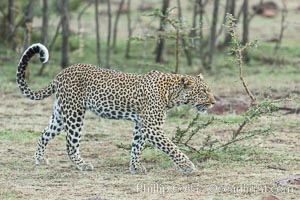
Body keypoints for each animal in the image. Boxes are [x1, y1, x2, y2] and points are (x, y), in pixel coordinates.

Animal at [15, 43, 216, 174]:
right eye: (204, 91)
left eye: (209, 90)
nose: (214, 102)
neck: (171, 93)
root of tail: (60, 74)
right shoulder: (152, 127)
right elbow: (171, 147)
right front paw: (187, 166)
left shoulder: (141, 125)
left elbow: (137, 147)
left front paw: (135, 167)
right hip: (75, 114)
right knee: (71, 145)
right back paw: (83, 165)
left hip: (60, 114)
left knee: (44, 134)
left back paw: (40, 160)